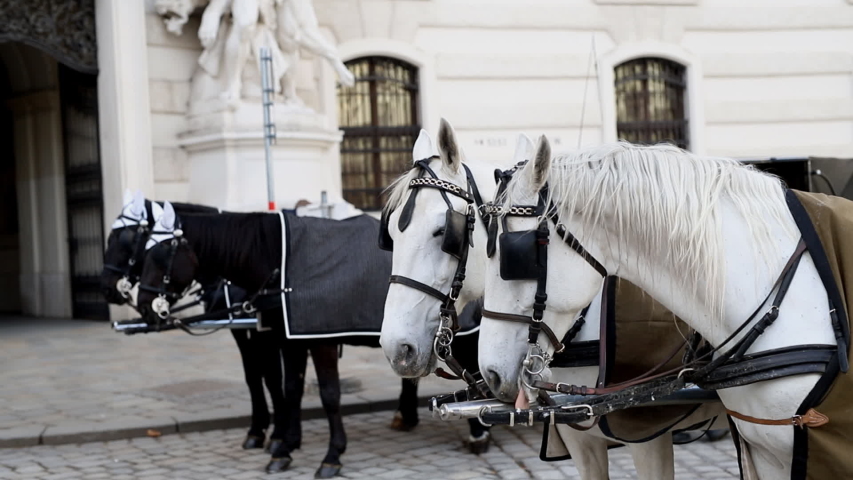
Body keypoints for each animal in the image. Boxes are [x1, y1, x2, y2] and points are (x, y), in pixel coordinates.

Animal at [130, 198, 485, 477]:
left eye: (159, 255)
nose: (144, 305)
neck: (281, 263)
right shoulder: (290, 340)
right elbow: (290, 389)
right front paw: (284, 448)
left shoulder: (320, 339)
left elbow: (328, 395)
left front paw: (332, 455)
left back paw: (478, 431)